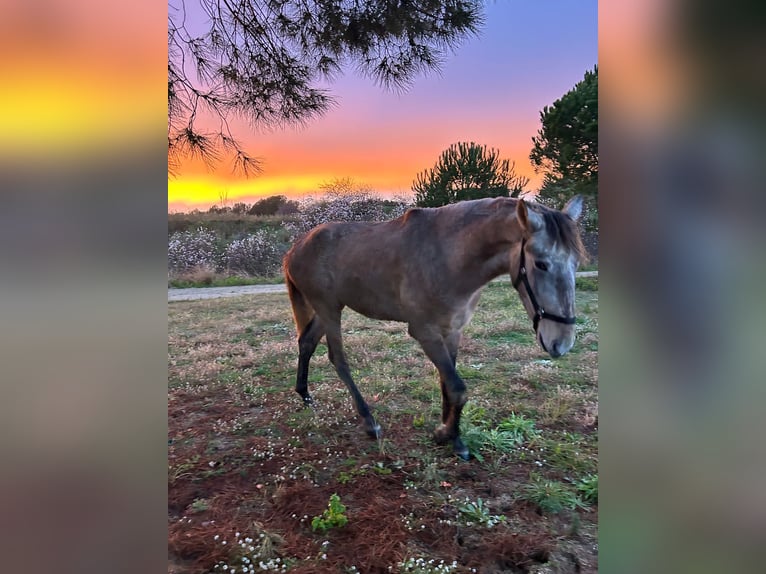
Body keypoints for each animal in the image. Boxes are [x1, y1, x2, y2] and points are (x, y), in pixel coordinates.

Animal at [283, 195, 586, 459]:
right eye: (541, 264)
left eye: (576, 263)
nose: (561, 343)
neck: (450, 257)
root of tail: (295, 248)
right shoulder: (425, 332)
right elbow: (458, 388)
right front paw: (449, 435)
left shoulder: (452, 330)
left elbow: (446, 384)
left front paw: (448, 432)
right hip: (328, 309)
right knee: (338, 359)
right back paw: (368, 420)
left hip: (328, 309)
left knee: (307, 342)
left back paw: (305, 396)